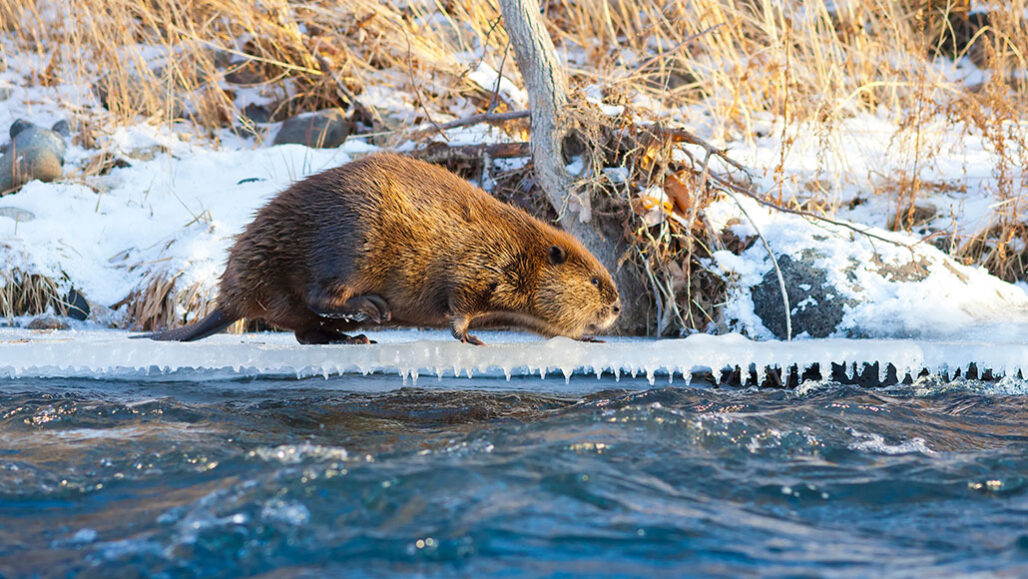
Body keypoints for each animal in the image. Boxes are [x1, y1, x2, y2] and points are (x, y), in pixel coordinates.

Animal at [147, 152, 616, 347]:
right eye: (596, 280)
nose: (617, 308)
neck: (517, 244)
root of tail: (231, 300)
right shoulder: (477, 264)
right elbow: (459, 305)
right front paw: (470, 337)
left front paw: (591, 339)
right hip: (355, 241)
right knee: (320, 297)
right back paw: (369, 313)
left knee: (303, 330)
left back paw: (353, 337)